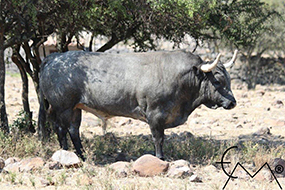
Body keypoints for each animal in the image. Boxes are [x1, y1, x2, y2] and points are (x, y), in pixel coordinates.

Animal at [38, 49, 237, 160]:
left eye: (229, 80)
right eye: (217, 81)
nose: (232, 102)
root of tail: (55, 57)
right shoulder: (155, 115)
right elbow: (158, 138)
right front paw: (161, 157)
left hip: (75, 108)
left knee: (73, 130)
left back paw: (81, 155)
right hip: (62, 107)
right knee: (61, 129)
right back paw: (66, 153)